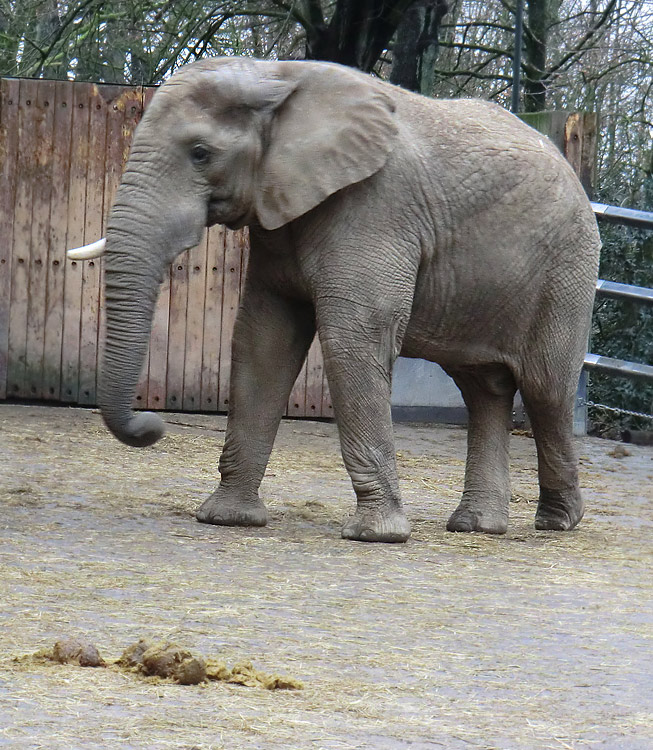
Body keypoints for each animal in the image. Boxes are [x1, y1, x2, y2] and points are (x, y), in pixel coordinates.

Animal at [69, 55, 600, 544]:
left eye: (200, 153)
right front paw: (226, 518)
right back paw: (477, 526)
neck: (276, 78)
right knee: (482, 388)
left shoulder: (375, 206)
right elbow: (263, 341)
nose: (152, 425)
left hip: (567, 269)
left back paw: (558, 521)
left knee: (546, 388)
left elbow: (353, 340)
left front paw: (375, 535)